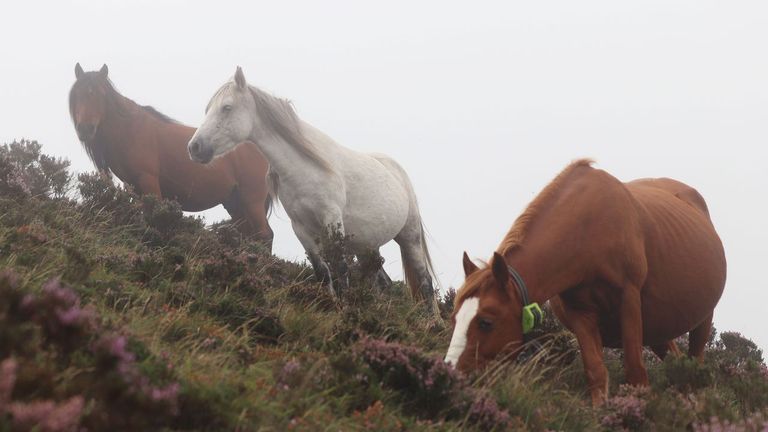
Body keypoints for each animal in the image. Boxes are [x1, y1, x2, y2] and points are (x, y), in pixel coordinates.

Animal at [69, 63, 274, 248]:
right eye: (77, 95)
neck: (130, 130)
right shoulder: (133, 187)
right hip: (235, 204)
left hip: (252, 201)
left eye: (100, 94)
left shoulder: (149, 181)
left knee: (265, 235)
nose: (85, 129)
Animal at [187, 66, 438, 316]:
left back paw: (432, 320)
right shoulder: (301, 228)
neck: (306, 168)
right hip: (367, 244)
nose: (194, 147)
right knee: (381, 281)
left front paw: (345, 310)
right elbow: (323, 272)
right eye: (208, 109)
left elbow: (341, 269)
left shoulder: (332, 219)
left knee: (425, 283)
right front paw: (332, 306)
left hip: (409, 237)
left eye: (227, 107)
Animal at [444, 159, 726, 405]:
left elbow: (635, 372)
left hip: (701, 320)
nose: (451, 373)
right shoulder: (580, 313)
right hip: (657, 329)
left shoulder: (629, 300)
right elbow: (596, 371)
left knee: (693, 367)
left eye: (486, 322)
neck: (589, 230)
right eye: (455, 318)